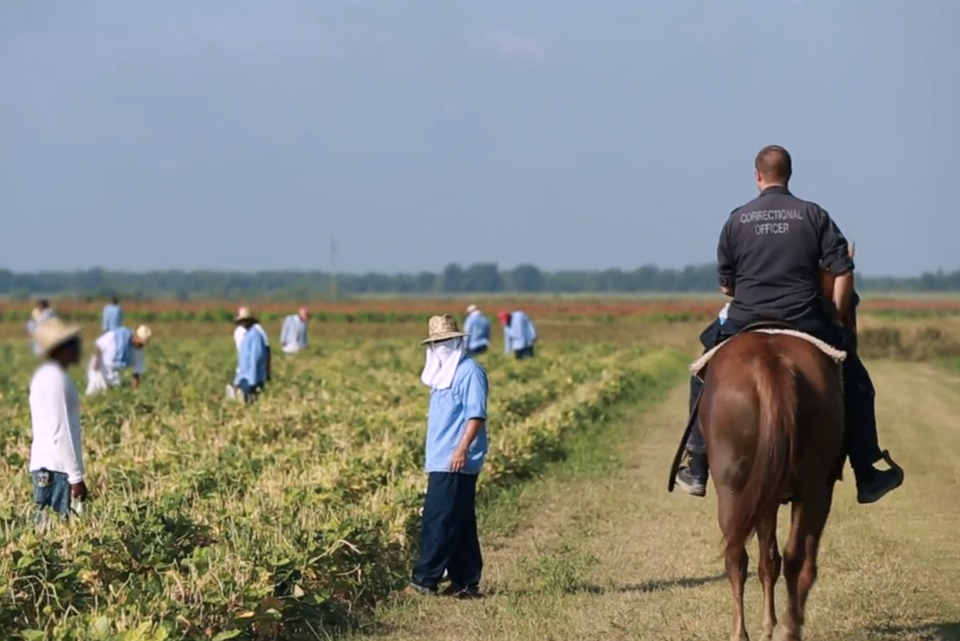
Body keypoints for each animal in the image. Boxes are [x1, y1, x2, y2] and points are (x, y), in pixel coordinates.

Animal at [696, 328, 848, 640]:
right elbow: (772, 560)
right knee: (795, 558)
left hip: (733, 490)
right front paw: (772, 625)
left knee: (737, 557)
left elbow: (766, 560)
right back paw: (787, 629)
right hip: (813, 491)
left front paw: (767, 625)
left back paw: (746, 632)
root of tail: (771, 363)